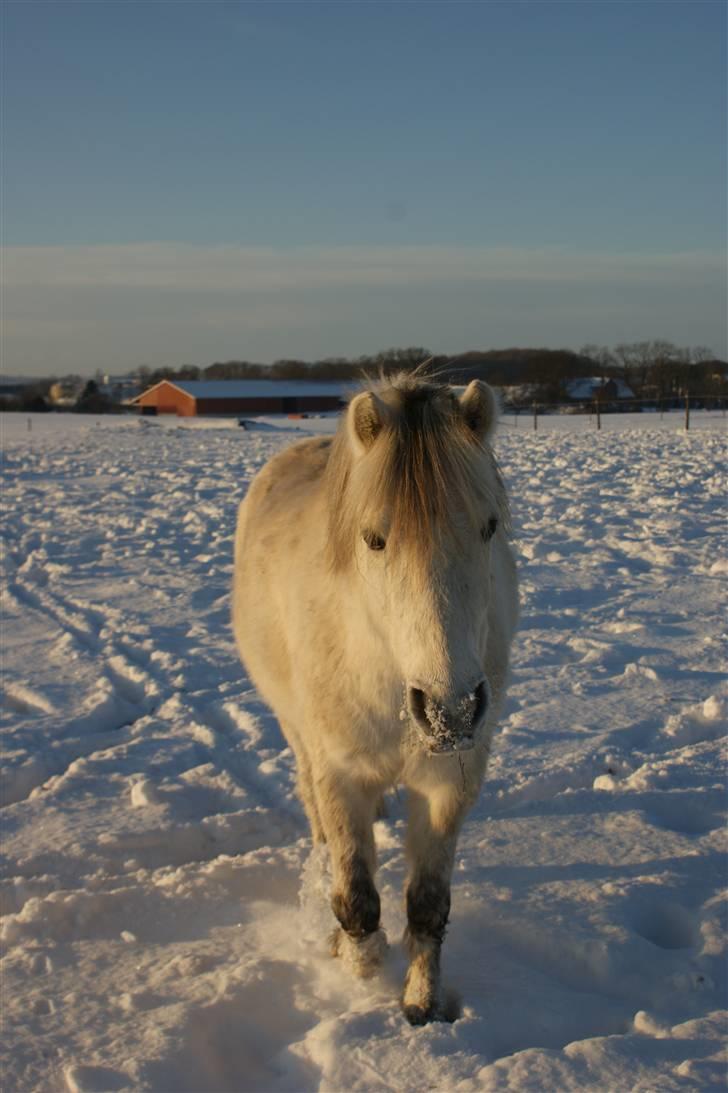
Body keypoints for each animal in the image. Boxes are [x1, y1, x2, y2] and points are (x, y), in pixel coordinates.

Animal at [232, 375, 515, 1023]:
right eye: (375, 539)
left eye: (488, 526)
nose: (450, 710)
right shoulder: (342, 775)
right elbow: (357, 895)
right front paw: (359, 975)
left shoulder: (449, 780)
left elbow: (428, 903)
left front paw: (421, 1007)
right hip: (296, 731)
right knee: (313, 807)